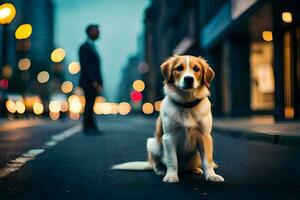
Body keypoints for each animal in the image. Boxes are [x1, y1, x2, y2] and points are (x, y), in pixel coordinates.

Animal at [111, 55, 224, 184]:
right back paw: (160, 170)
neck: (186, 103)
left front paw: (211, 176)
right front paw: (171, 176)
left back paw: (195, 169)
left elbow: (207, 161)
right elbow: (172, 160)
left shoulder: (205, 136)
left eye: (196, 69)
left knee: (194, 165)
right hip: (152, 144)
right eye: (179, 68)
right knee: (157, 163)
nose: (189, 79)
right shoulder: (169, 137)